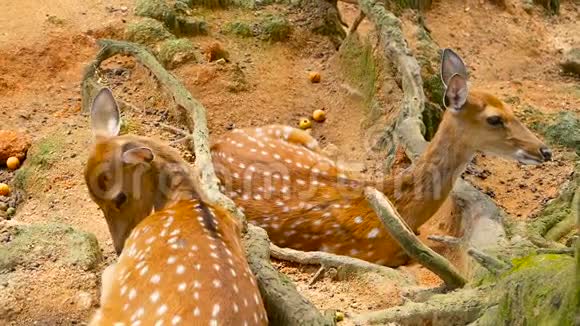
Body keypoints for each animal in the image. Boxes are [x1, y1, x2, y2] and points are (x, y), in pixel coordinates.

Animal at [210, 49, 552, 268]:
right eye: (495, 119)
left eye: (510, 107)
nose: (544, 150)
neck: (401, 208)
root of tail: (215, 143)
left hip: (296, 135)